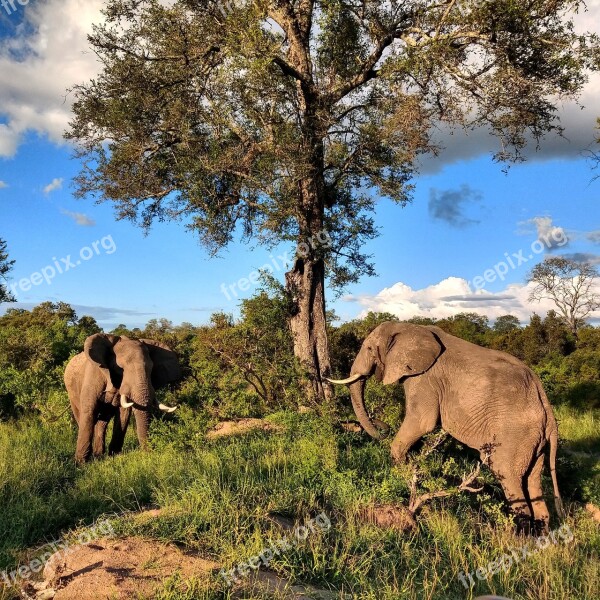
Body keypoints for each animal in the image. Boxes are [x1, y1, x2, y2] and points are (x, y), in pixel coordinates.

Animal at [64, 332, 180, 464]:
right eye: (120, 369)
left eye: (151, 369)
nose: (148, 455)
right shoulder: (93, 375)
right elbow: (89, 410)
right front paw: (81, 463)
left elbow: (124, 413)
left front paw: (115, 457)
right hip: (71, 391)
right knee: (82, 416)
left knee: (103, 421)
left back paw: (99, 455)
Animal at [328, 322, 564, 532]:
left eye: (369, 348)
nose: (380, 429)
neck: (409, 326)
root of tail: (549, 412)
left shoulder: (425, 378)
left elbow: (422, 421)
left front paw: (400, 474)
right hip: (533, 441)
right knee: (533, 481)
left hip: (515, 434)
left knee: (507, 474)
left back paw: (517, 537)